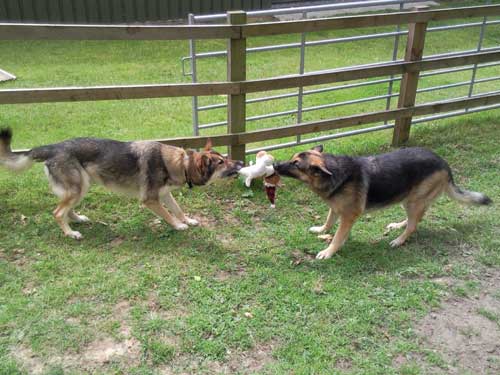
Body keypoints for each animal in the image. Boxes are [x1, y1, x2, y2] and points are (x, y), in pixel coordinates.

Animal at [0, 129, 242, 241]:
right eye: (221, 162)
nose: (240, 162)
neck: (180, 163)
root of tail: (52, 147)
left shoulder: (165, 195)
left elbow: (178, 209)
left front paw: (188, 220)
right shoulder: (150, 200)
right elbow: (168, 215)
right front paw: (178, 226)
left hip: (82, 187)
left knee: (66, 210)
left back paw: (78, 219)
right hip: (78, 188)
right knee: (58, 212)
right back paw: (71, 233)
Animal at [274, 145, 492, 260]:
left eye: (295, 164)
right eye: (292, 158)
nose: (275, 165)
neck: (333, 172)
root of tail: (445, 165)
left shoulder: (348, 216)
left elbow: (337, 236)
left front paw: (329, 251)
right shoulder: (336, 208)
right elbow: (329, 221)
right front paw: (321, 230)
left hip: (413, 200)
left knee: (414, 225)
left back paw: (399, 240)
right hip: (409, 199)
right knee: (416, 219)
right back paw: (398, 225)